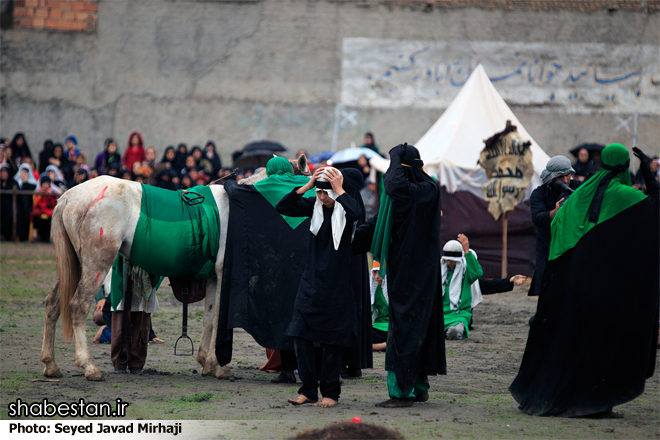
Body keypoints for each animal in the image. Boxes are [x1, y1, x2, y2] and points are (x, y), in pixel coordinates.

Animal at [39, 163, 288, 380]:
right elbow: (218, 319)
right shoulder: (224, 273)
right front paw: (217, 366)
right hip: (96, 264)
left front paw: (206, 364)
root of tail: (69, 196)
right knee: (78, 306)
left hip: (77, 265)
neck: (238, 208)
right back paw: (88, 366)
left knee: (53, 304)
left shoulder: (214, 278)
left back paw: (51, 365)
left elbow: (209, 318)